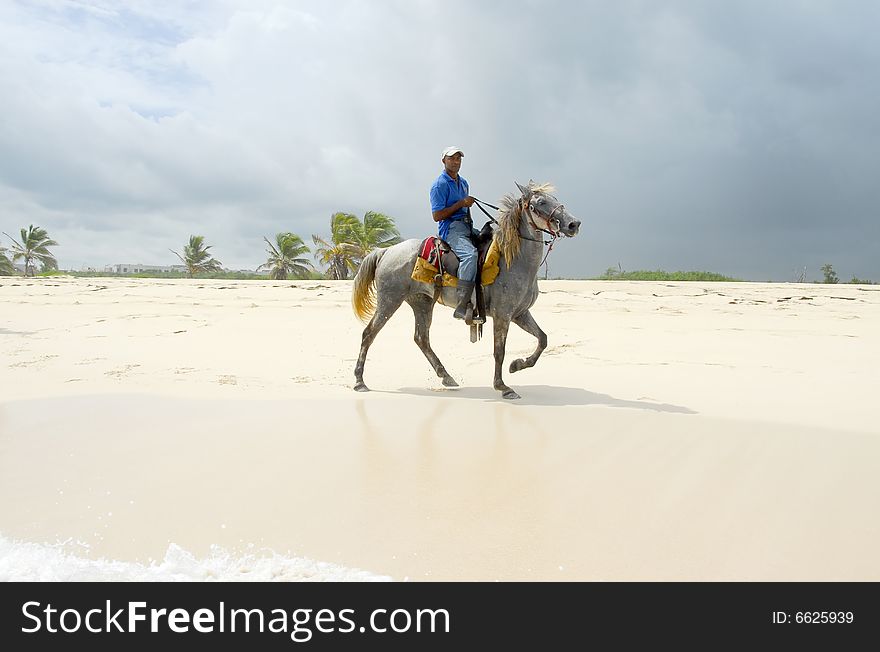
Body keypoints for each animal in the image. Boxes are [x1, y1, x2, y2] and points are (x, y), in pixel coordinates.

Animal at [350, 181, 584, 400]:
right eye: (540, 202)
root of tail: (386, 250)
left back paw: (446, 376)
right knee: (369, 333)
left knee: (421, 338)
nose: (574, 224)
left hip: (421, 302)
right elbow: (499, 351)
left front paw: (517, 365)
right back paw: (359, 381)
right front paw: (503, 387)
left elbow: (543, 339)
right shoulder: (503, 314)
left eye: (554, 198)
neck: (514, 260)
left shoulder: (520, 313)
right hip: (390, 300)